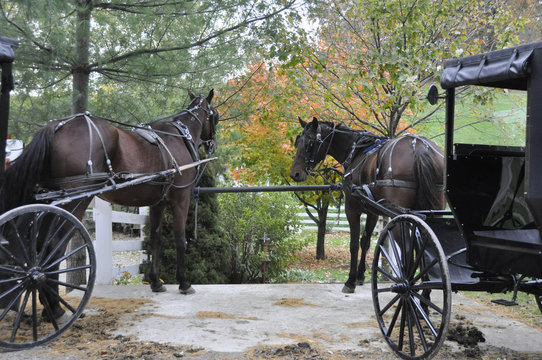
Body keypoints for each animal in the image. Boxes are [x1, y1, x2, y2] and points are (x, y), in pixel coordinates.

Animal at [0, 90, 219, 310]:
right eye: (215, 115)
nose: (214, 144)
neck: (181, 136)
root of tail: (55, 127)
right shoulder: (181, 198)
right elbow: (180, 239)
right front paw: (184, 283)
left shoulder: (158, 204)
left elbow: (156, 240)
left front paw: (156, 282)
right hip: (75, 200)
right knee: (54, 246)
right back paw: (54, 306)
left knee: (40, 243)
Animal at [292, 117, 444, 292]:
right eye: (297, 142)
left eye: (309, 144)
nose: (294, 174)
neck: (355, 151)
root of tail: (419, 148)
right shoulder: (372, 211)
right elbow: (365, 242)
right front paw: (360, 275)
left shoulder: (351, 208)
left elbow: (353, 244)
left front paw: (350, 280)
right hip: (432, 212)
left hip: (399, 216)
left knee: (408, 252)